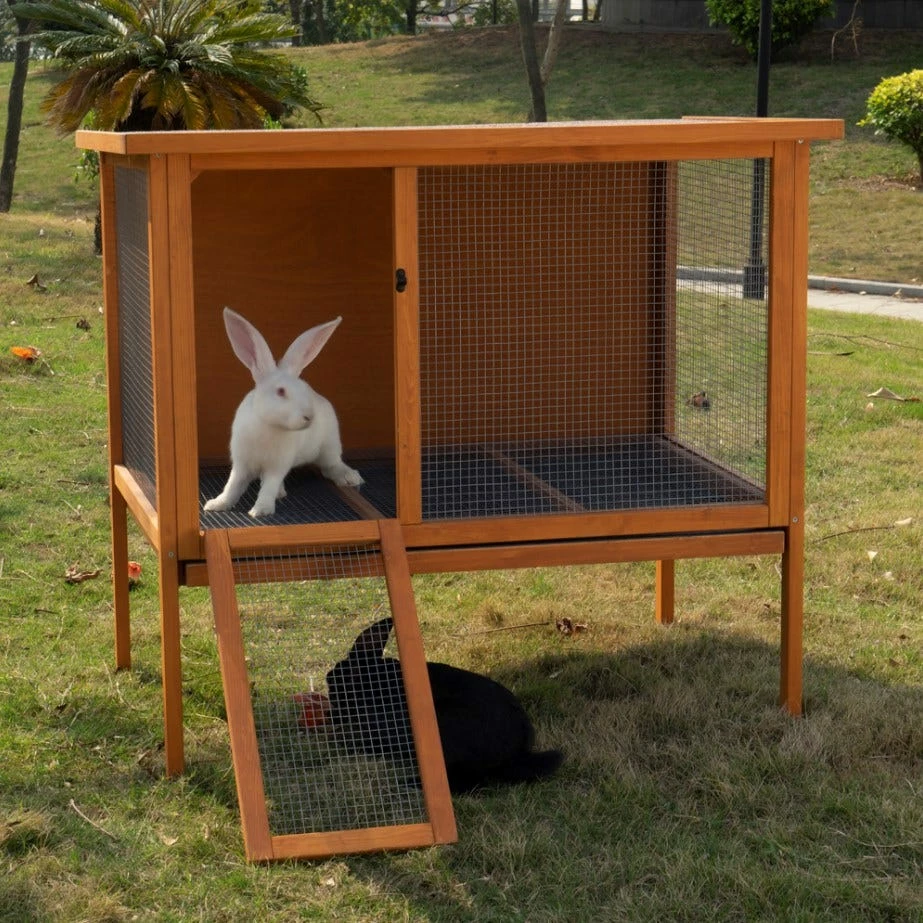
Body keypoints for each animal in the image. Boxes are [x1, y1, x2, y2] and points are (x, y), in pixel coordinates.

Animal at [203, 307, 363, 519]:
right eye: (280, 391)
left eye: (305, 388)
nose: (309, 417)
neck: (268, 426)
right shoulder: (241, 463)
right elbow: (232, 486)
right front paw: (216, 504)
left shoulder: (278, 465)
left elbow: (269, 485)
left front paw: (260, 510)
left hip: (330, 444)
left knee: (331, 465)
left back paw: (349, 477)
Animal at [325, 617, 564, 794]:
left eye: (337, 679)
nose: (328, 678)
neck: (373, 684)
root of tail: (515, 756)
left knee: (469, 783)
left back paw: (408, 784)